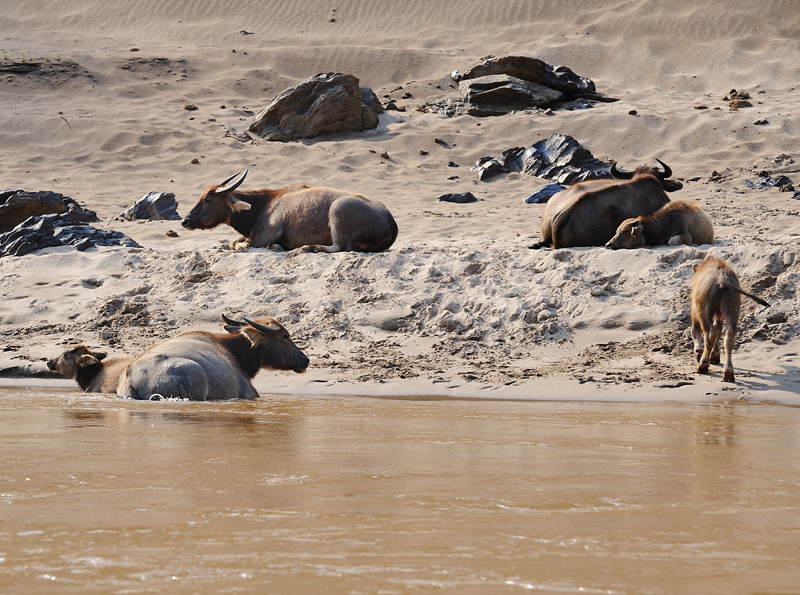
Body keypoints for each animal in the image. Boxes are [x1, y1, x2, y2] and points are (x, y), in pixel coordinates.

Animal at [180, 169, 396, 253]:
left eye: (208, 199)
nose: (185, 221)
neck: (263, 205)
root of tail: (389, 219)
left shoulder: (261, 238)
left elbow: (239, 245)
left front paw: (276, 246)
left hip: (338, 211)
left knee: (340, 247)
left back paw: (307, 247)